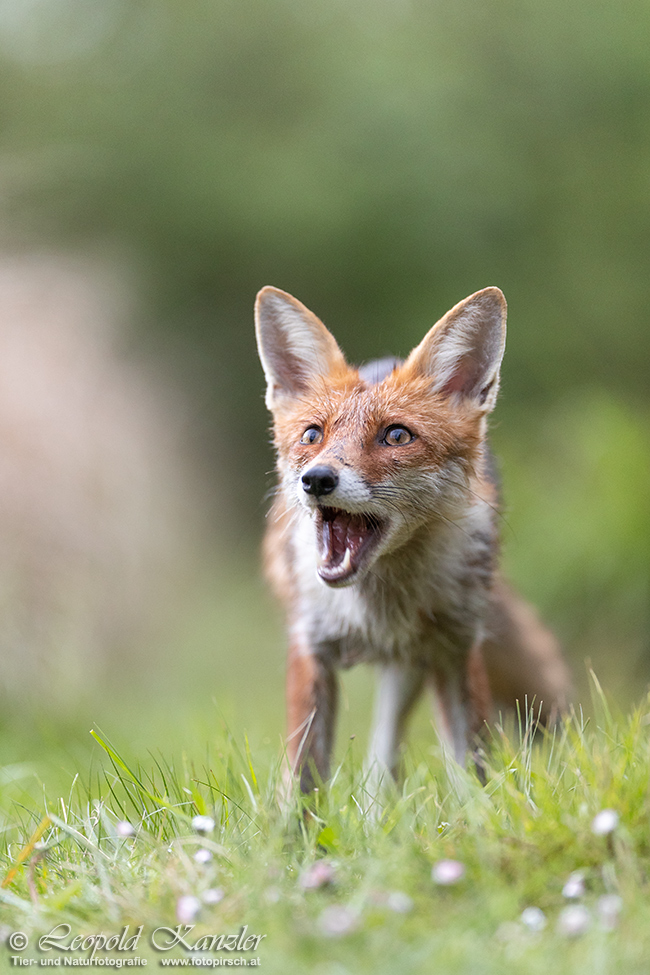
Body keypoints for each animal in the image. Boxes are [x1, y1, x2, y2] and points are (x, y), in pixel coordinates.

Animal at [253, 288, 568, 792]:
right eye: (312, 434)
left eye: (397, 435)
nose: (316, 479)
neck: (380, 604)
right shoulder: (310, 643)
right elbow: (302, 779)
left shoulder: (457, 648)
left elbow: (474, 768)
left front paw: (478, 812)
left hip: (413, 667)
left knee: (383, 759)